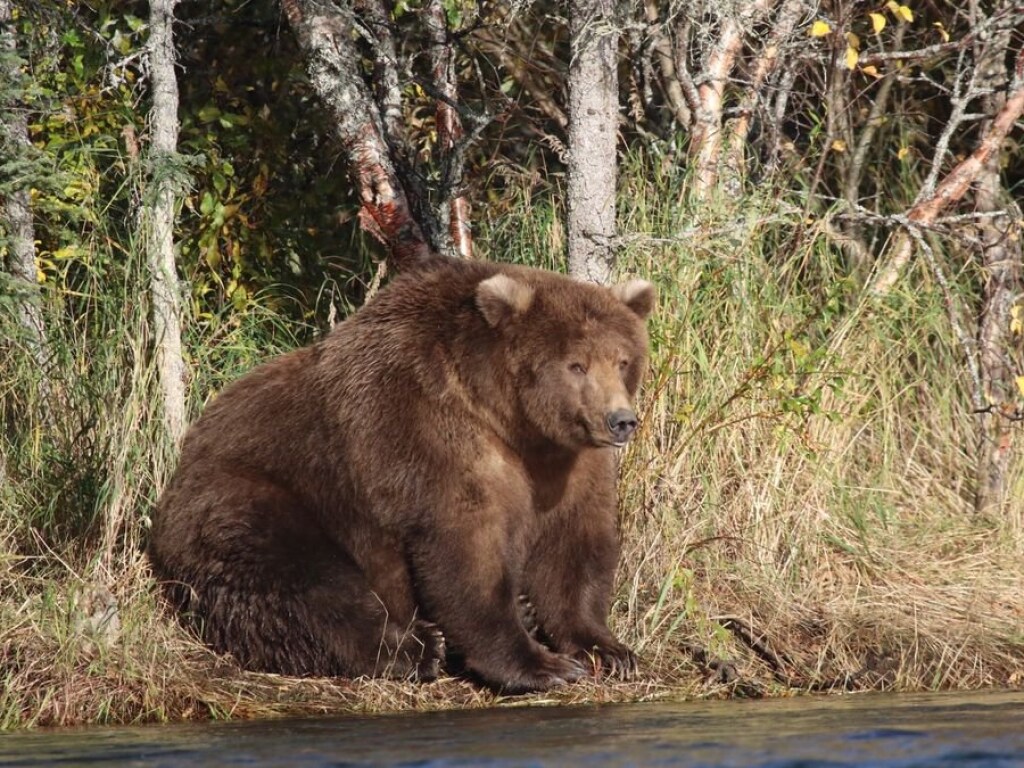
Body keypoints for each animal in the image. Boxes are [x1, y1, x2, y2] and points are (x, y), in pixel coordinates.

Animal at [148, 256, 651, 696]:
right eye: (576, 364)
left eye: (622, 360)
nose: (620, 421)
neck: (510, 420)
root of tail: (177, 472)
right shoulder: (428, 432)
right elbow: (466, 549)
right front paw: (541, 665)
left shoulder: (567, 464)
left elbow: (575, 545)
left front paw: (607, 649)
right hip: (254, 500)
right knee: (307, 585)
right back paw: (418, 648)